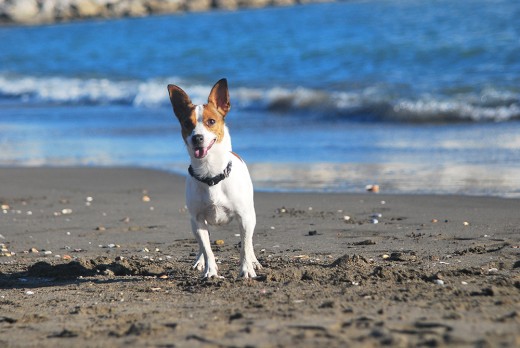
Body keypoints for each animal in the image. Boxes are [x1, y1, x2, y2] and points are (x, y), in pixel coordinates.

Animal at [167, 79, 262, 280]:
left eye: (211, 121)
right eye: (187, 123)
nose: (197, 138)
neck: (210, 174)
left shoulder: (244, 218)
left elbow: (244, 247)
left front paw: (247, 269)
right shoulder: (197, 221)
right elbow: (207, 248)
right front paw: (210, 271)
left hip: (251, 215)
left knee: (249, 242)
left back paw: (254, 262)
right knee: (202, 245)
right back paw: (199, 261)